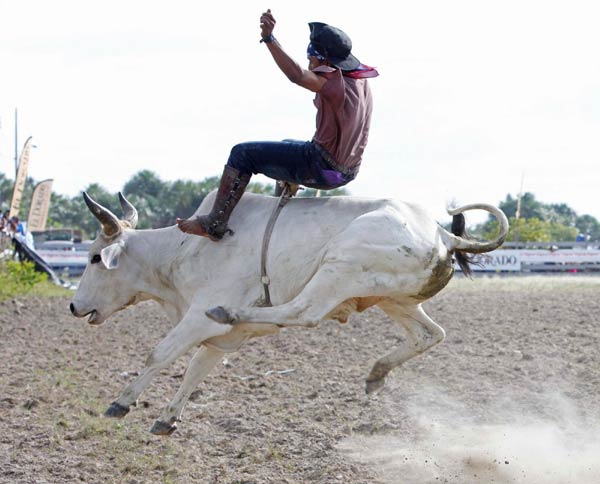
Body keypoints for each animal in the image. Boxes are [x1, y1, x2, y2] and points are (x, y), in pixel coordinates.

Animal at [72, 192, 508, 434]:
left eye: (94, 258)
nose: (74, 306)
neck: (183, 250)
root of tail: (442, 234)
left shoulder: (195, 317)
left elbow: (159, 355)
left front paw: (121, 403)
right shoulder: (216, 341)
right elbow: (196, 369)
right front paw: (166, 419)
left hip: (340, 265)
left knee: (304, 310)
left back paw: (233, 311)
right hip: (393, 298)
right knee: (430, 334)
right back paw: (376, 374)